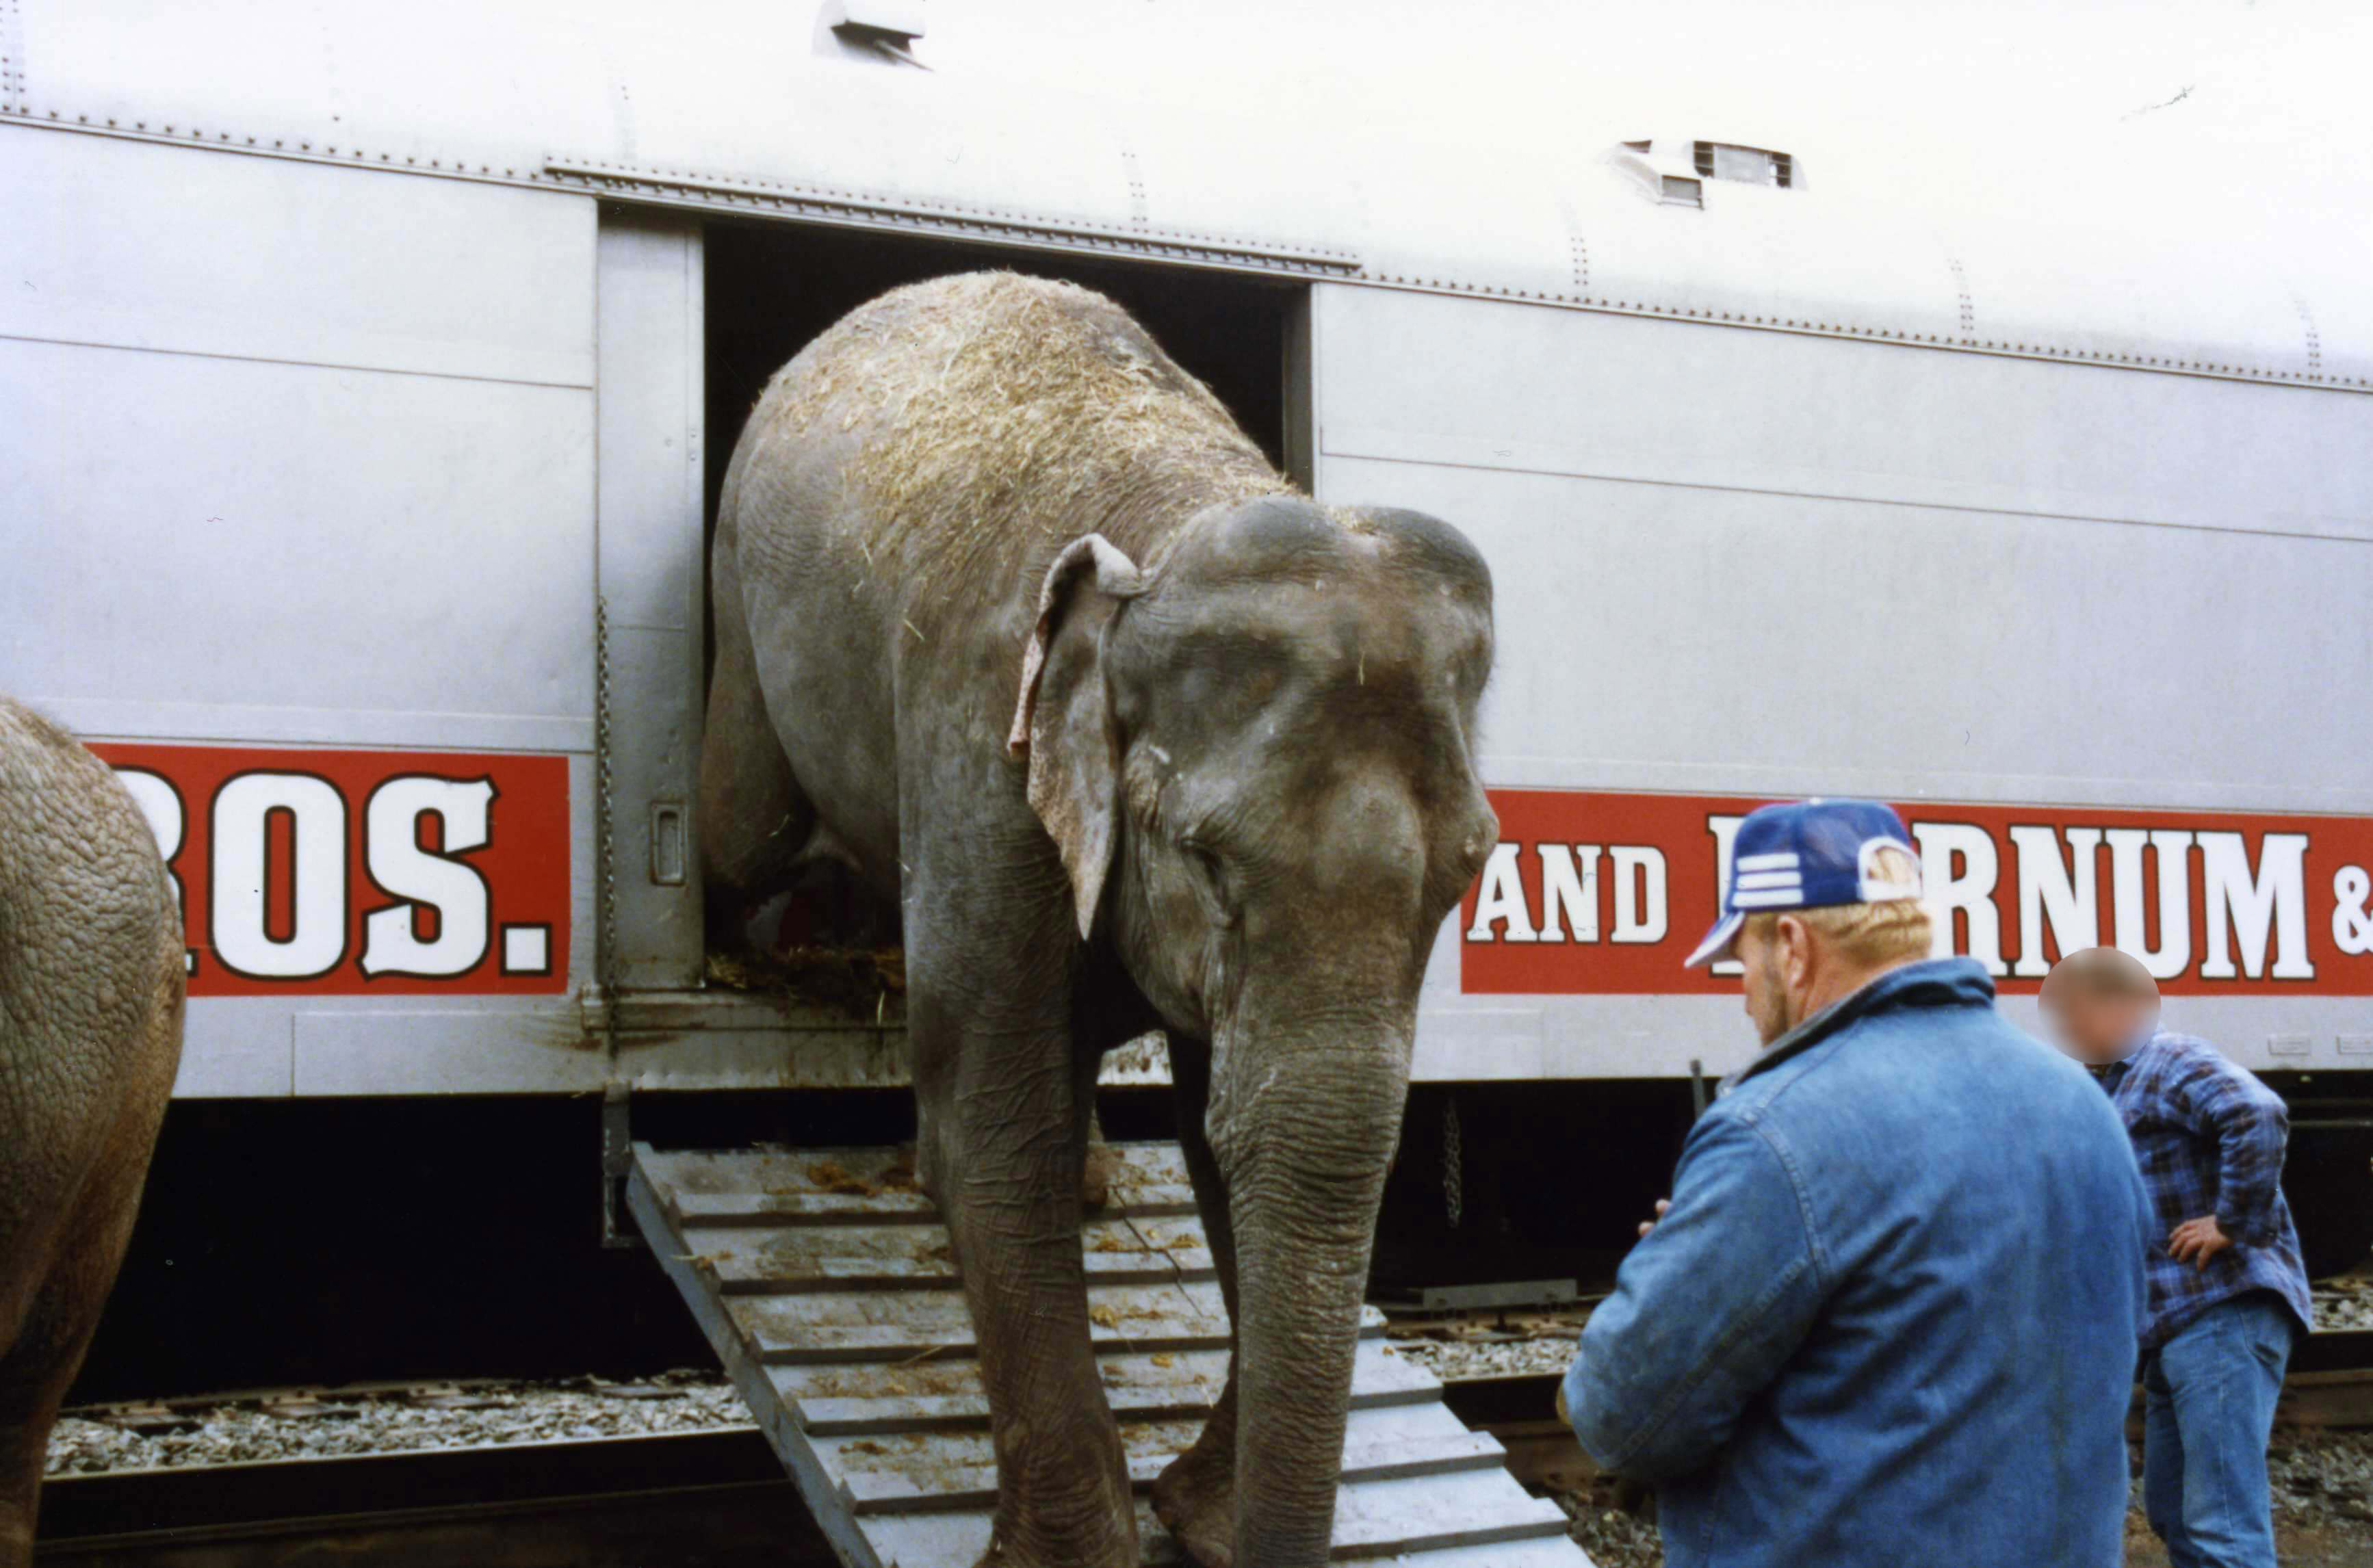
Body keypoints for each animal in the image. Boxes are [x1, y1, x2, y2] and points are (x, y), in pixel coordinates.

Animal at [692, 272, 1490, 1565]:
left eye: (1466, 874)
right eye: (1207, 860)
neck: (1172, 505)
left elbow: (1237, 1132)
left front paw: (1196, 1516)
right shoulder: (982, 738)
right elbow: (994, 1118)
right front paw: (1089, 1549)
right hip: (737, 606)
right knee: (737, 829)